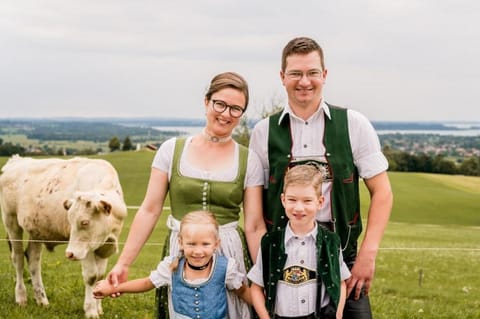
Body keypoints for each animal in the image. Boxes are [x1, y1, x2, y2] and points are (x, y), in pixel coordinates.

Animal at [0, 156, 127, 318]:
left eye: (85, 222)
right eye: (70, 221)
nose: (69, 253)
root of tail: (16, 160)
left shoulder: (104, 247)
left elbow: (99, 276)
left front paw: (99, 308)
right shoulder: (84, 250)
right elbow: (91, 276)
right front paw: (91, 311)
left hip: (35, 230)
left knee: (33, 259)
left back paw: (42, 300)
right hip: (11, 222)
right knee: (18, 259)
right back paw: (21, 298)